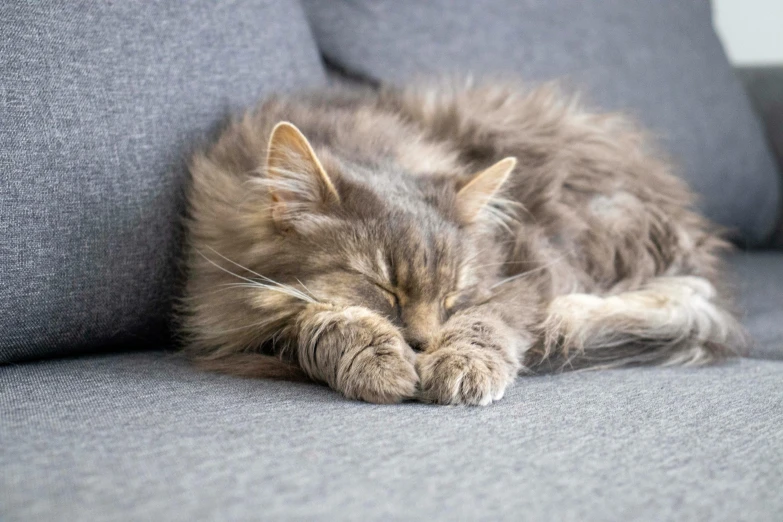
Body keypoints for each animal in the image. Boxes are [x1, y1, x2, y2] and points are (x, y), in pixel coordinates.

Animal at [181, 81, 752, 404]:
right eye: (383, 288)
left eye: (453, 297)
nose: (421, 344)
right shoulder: (232, 320)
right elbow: (313, 319)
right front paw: (380, 361)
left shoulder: (522, 281)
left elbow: (485, 324)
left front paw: (461, 366)